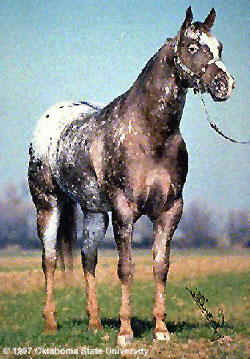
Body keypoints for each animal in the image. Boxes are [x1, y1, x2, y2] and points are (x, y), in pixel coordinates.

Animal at [28, 7, 234, 344]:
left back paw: (95, 324)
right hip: (48, 205)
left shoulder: (170, 210)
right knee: (49, 260)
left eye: (219, 48)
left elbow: (160, 266)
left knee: (88, 258)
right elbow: (126, 268)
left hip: (95, 212)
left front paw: (161, 330)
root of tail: (50, 118)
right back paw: (50, 324)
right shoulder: (125, 211)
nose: (224, 84)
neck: (150, 133)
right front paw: (125, 333)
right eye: (192, 47)